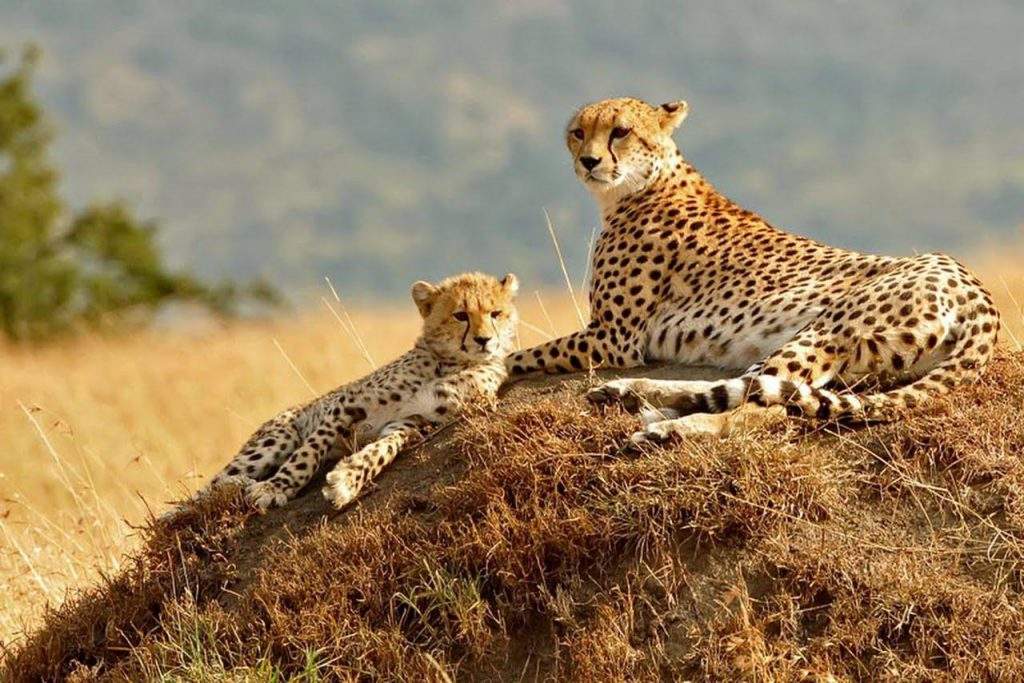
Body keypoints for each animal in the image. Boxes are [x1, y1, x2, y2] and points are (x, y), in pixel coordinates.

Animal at [191, 272, 516, 511]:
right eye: (461, 315)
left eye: (496, 313)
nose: (484, 340)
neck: (449, 363)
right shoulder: (346, 405)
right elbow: (307, 452)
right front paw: (276, 487)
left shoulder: (413, 423)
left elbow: (381, 451)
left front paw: (348, 479)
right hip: (277, 438)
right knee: (205, 490)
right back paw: (235, 485)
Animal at [505, 97, 999, 448]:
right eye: (578, 133)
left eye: (620, 132)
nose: (588, 160)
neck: (645, 183)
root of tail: (975, 287)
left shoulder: (614, 337)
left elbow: (520, 354)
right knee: (748, 386)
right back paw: (633, 395)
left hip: (826, 330)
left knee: (767, 406)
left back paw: (670, 427)